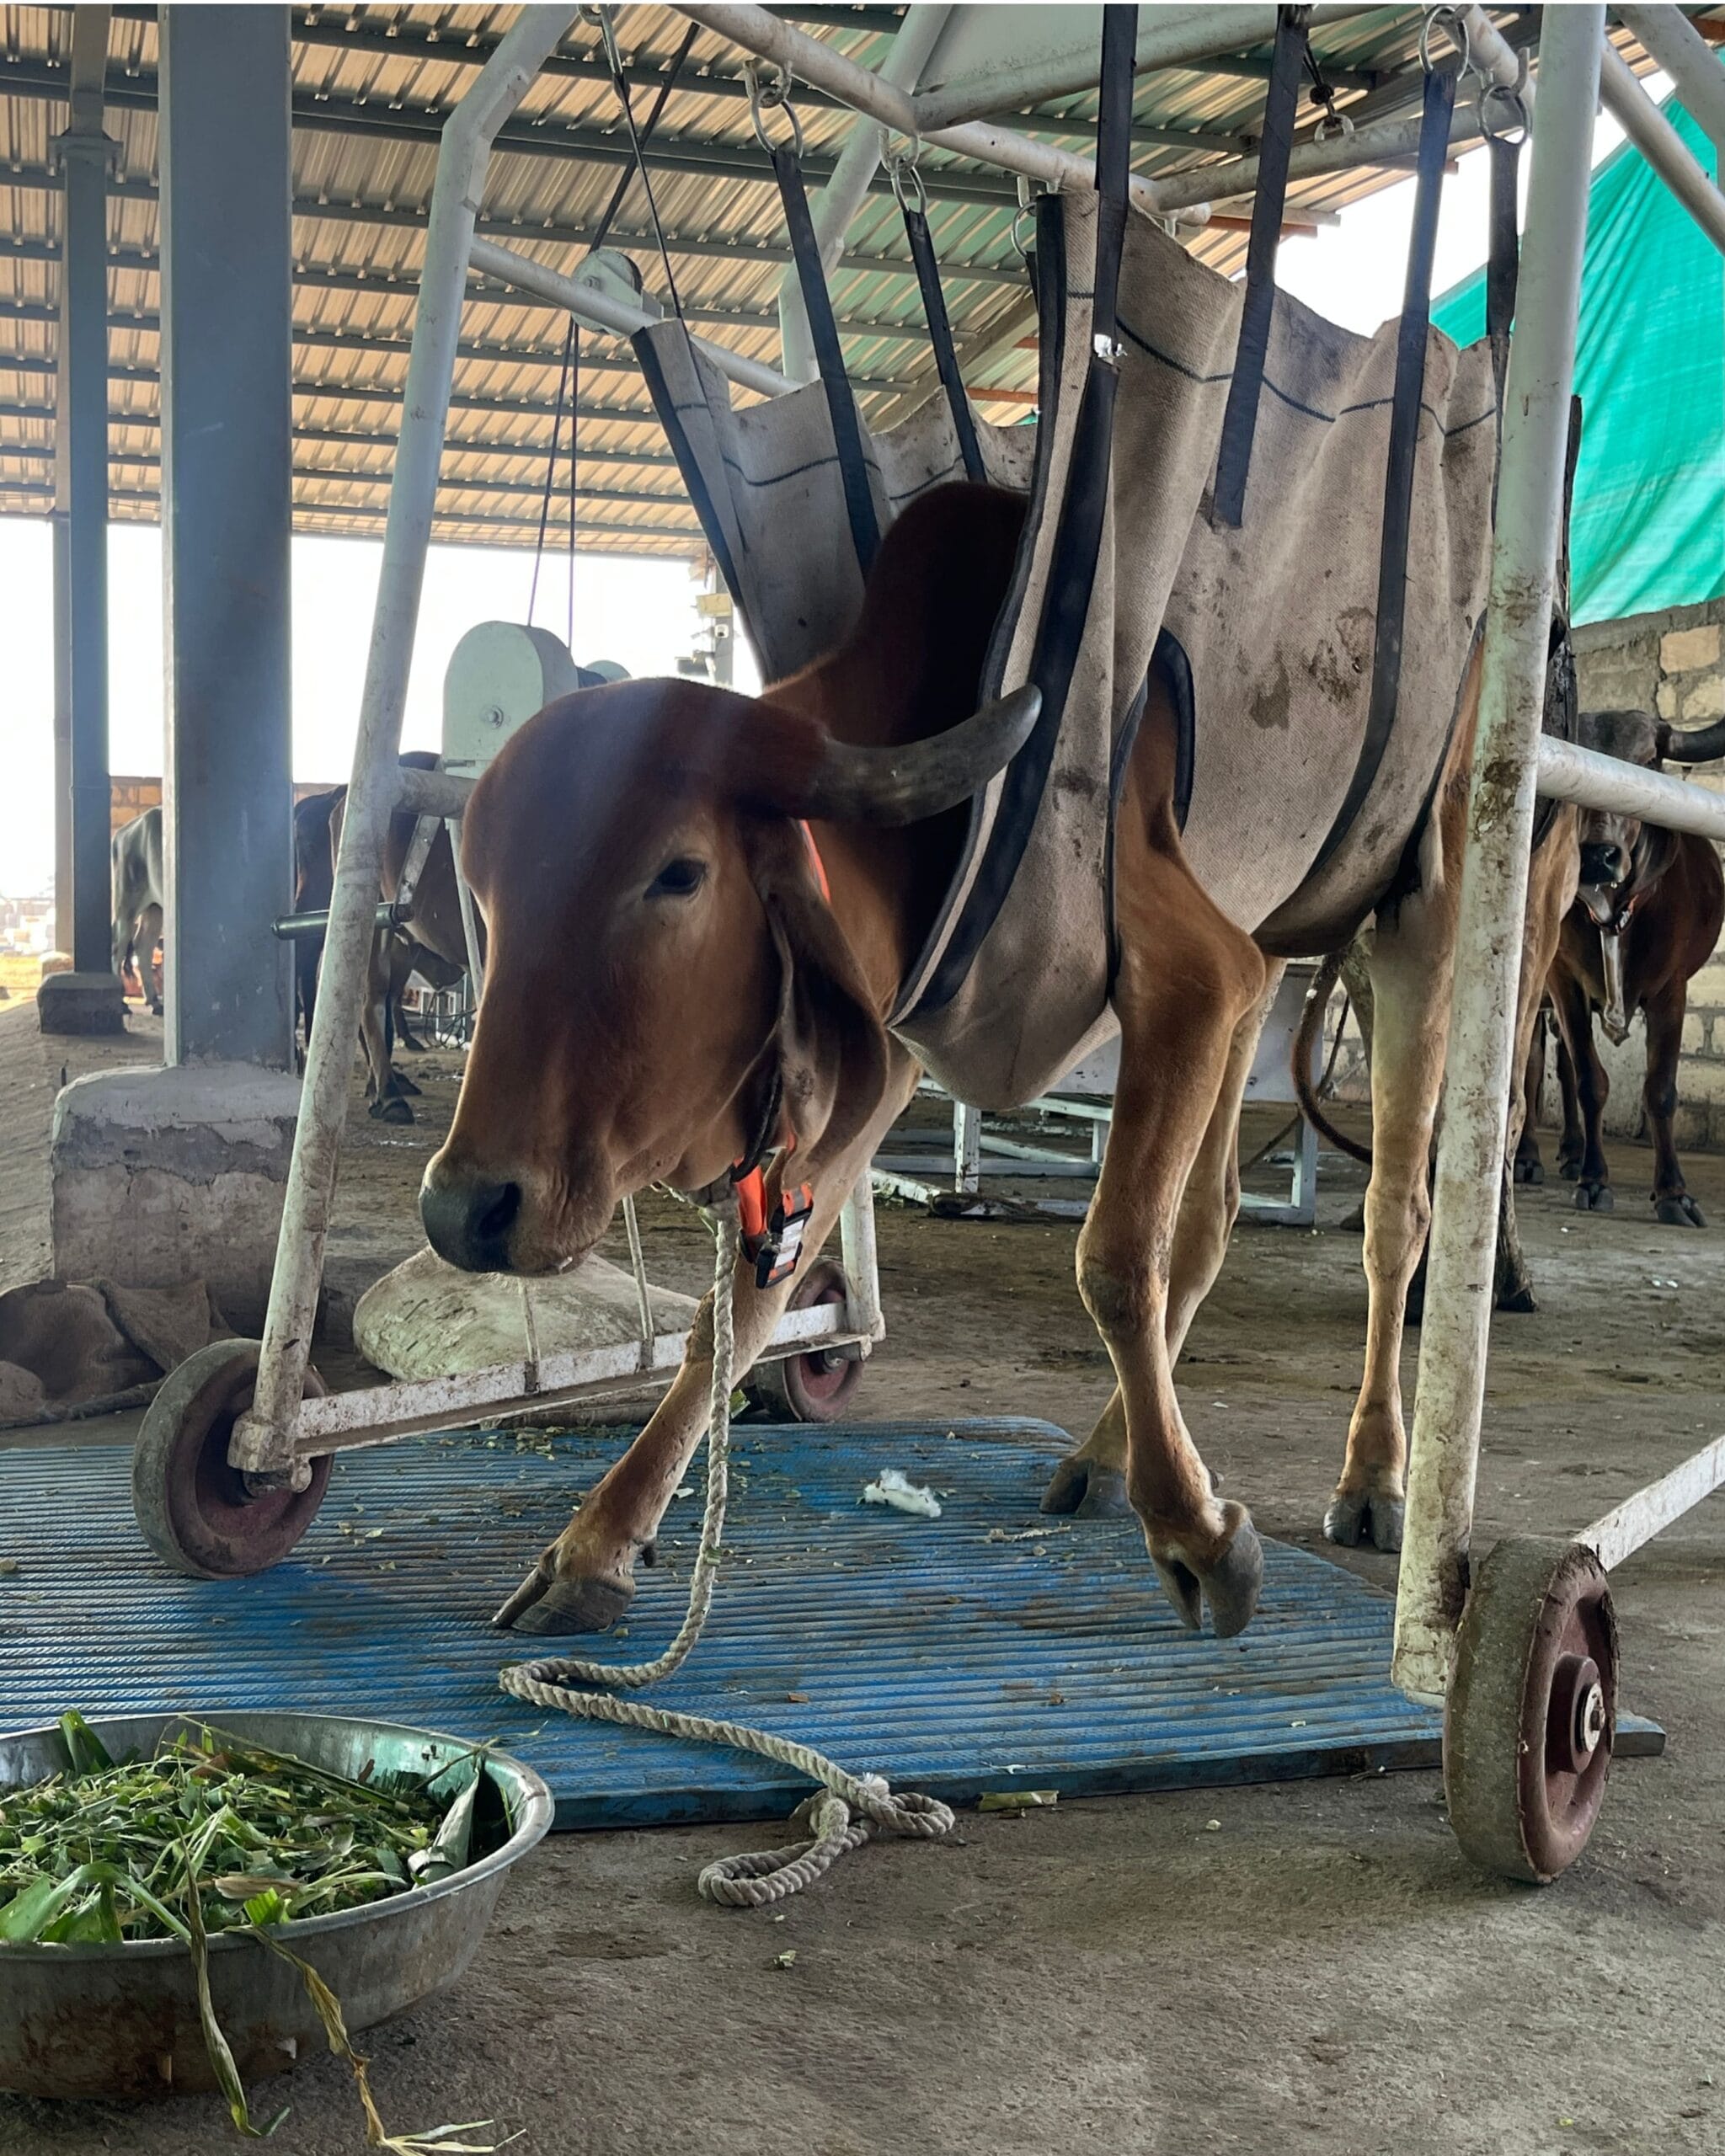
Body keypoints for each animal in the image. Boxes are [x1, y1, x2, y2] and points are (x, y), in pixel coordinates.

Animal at [111, 807, 164, 1014]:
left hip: (155, 907)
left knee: (143, 944)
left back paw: (154, 1001)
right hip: (127, 900)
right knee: (119, 943)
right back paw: (120, 1003)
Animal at [416, 484, 1577, 1639]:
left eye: (679, 872)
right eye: (484, 890)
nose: (464, 1210)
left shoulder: (1193, 977)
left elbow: (1114, 1260)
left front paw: (1196, 1536)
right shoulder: (888, 1060)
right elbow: (731, 1322)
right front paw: (596, 1545)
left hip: (1423, 912)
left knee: (1393, 1216)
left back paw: (1373, 1475)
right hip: (1263, 962)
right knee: (1209, 1217)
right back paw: (1107, 1452)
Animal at [1515, 708, 1725, 1225]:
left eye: (1648, 760)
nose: (1598, 856)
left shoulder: (1672, 990)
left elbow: (1660, 1090)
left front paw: (1673, 1192)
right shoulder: (1563, 983)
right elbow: (1591, 1082)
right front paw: (1595, 1179)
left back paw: (1571, 1152)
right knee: (1534, 1067)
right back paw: (1531, 1157)